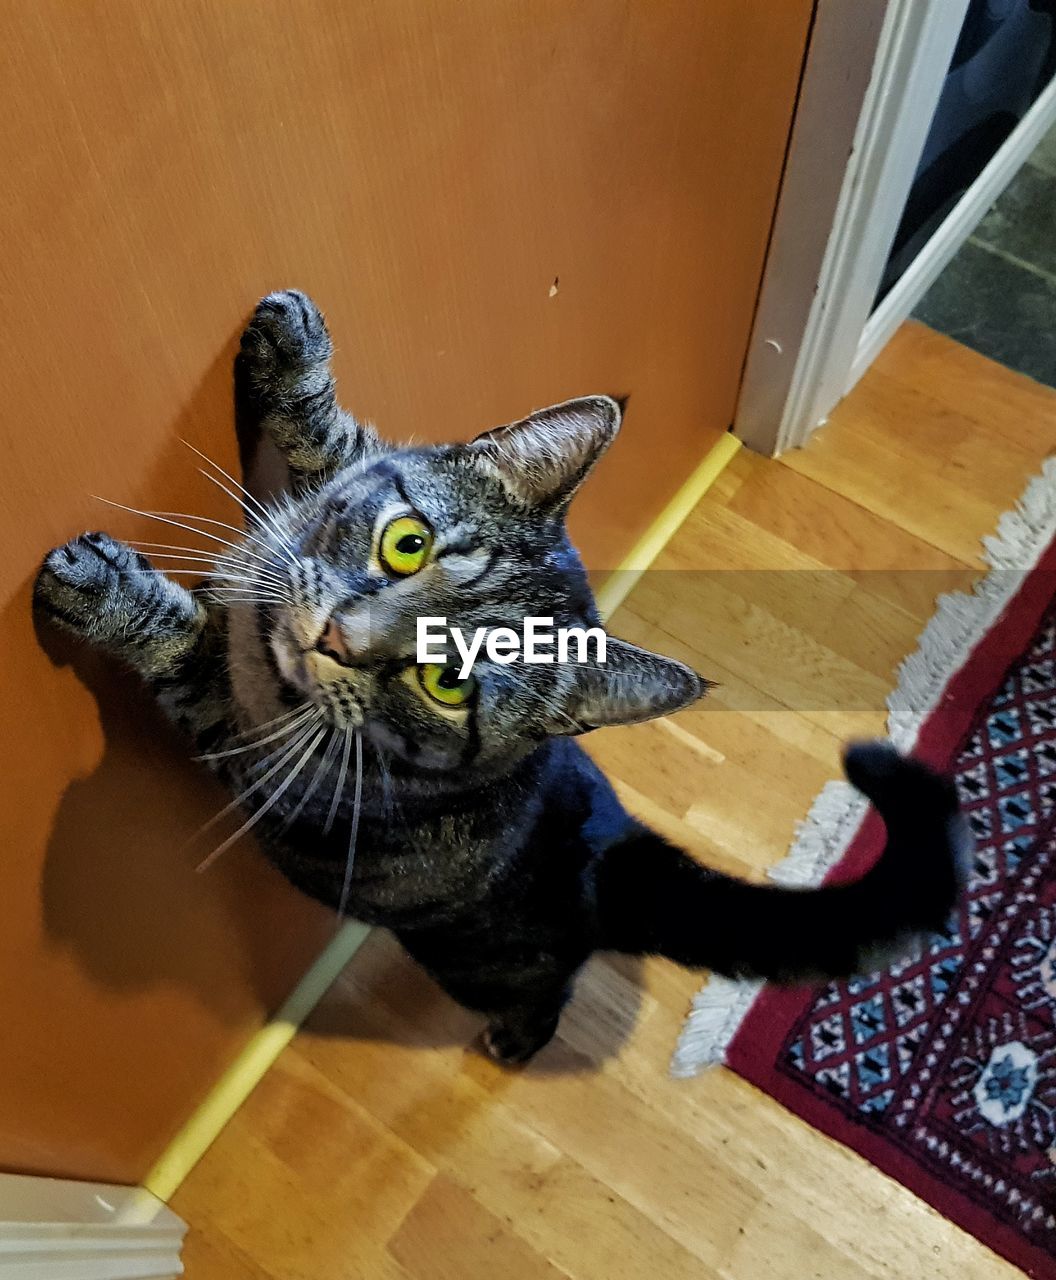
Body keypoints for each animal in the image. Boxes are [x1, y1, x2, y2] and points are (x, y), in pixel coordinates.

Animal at [37, 294, 967, 1064]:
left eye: (449, 684)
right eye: (405, 543)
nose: (337, 638)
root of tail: (613, 853)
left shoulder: (244, 734)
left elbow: (188, 649)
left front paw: (106, 590)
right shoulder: (354, 474)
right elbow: (343, 445)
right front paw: (294, 349)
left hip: (486, 965)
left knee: (544, 993)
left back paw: (516, 1039)